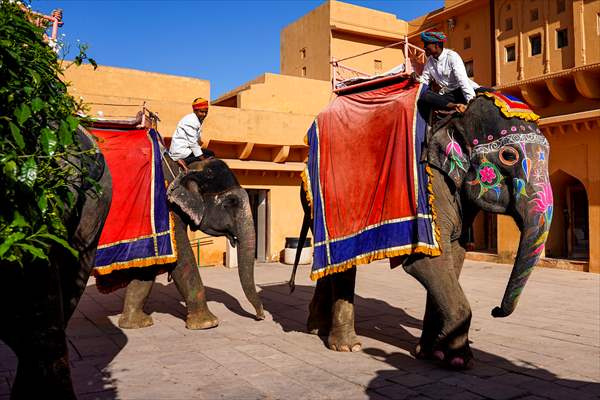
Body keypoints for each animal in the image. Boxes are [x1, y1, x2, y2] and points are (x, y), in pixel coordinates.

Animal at [113, 157, 264, 332]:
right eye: (230, 203)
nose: (260, 317)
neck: (186, 168)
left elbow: (148, 266)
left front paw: (137, 324)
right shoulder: (168, 208)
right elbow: (181, 257)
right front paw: (207, 324)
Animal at [292, 94, 552, 368]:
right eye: (508, 155)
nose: (495, 310)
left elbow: (453, 258)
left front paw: (430, 353)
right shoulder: (430, 190)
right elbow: (426, 262)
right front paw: (458, 360)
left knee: (333, 266)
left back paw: (316, 329)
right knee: (343, 264)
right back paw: (347, 346)